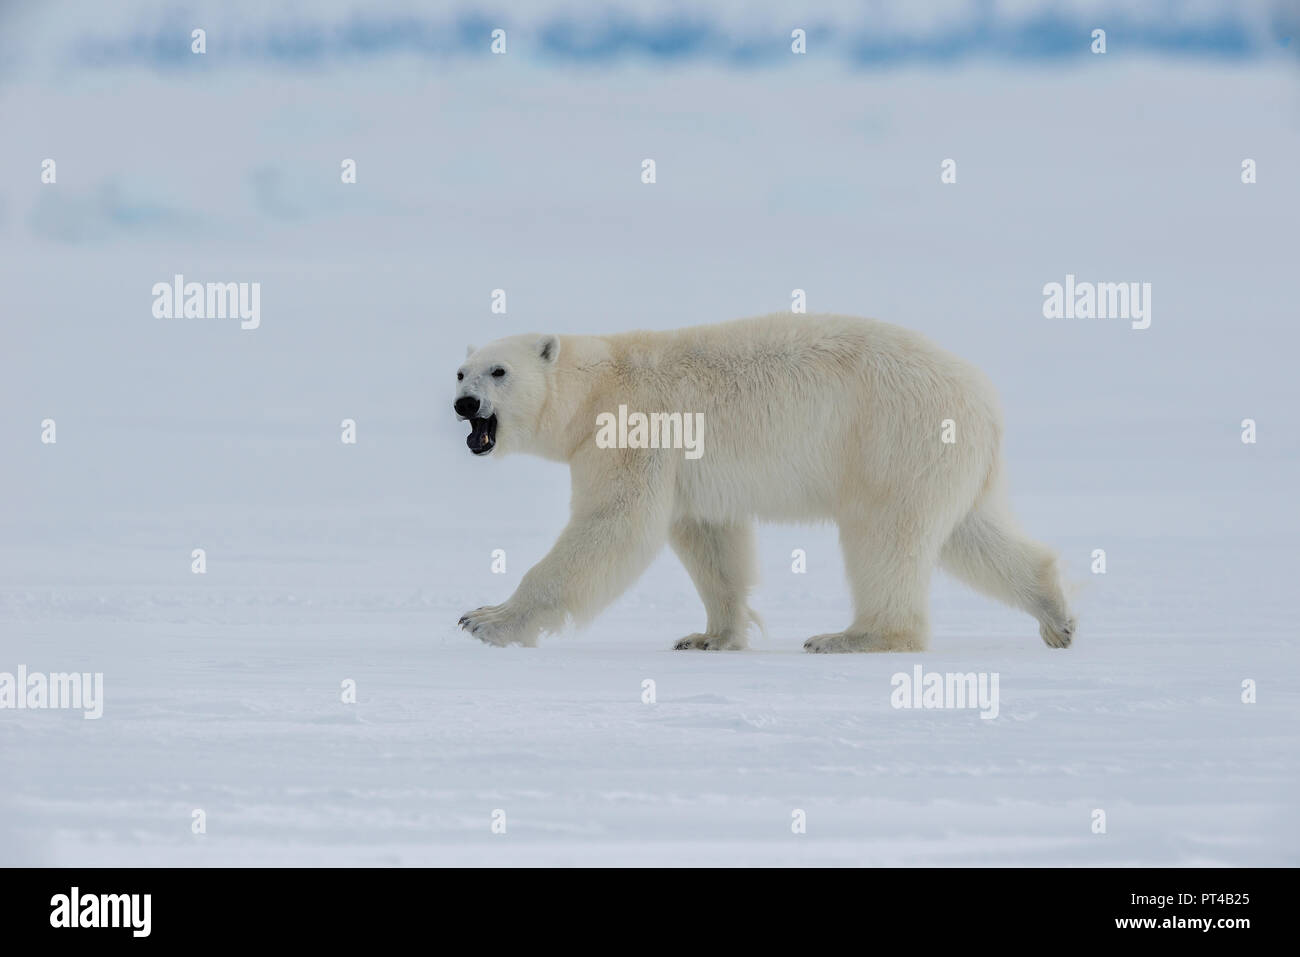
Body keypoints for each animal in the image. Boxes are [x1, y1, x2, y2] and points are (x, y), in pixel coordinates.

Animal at [452, 314, 1071, 650]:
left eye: (499, 371)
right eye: (460, 371)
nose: (464, 404)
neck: (598, 383)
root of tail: (984, 401)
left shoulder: (632, 429)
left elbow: (614, 524)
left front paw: (486, 619)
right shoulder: (686, 468)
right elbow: (709, 539)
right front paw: (708, 637)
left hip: (894, 436)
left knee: (884, 534)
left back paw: (853, 637)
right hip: (948, 458)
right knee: (969, 531)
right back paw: (1054, 613)